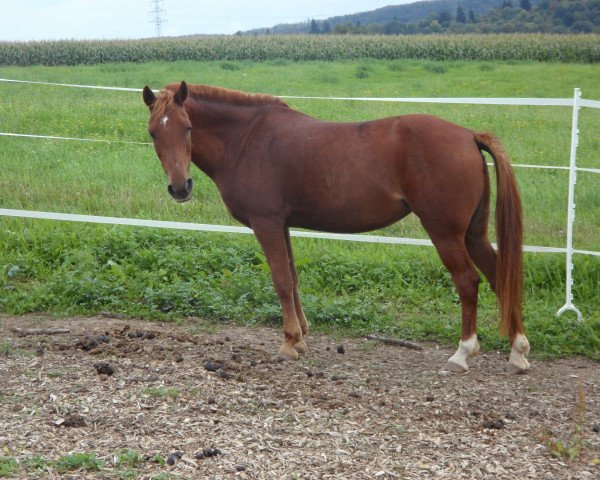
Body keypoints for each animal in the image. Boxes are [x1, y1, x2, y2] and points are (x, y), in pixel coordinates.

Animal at [142, 80, 528, 374]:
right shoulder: (282, 225)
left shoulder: (266, 223)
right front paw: (301, 336)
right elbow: (293, 278)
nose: (179, 187)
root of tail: (468, 136)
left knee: (468, 281)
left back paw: (463, 353)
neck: (246, 139)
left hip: (445, 234)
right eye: (153, 133)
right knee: (499, 276)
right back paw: (518, 350)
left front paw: (289, 343)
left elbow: (281, 281)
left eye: (187, 127)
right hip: (473, 234)